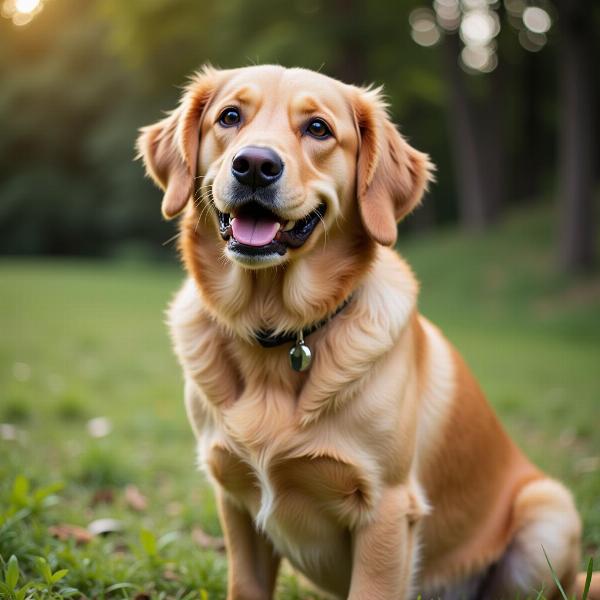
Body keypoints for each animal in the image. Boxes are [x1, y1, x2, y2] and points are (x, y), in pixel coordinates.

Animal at [137, 63, 600, 596]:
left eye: (318, 128)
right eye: (230, 117)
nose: (254, 164)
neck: (279, 330)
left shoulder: (387, 509)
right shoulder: (233, 498)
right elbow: (245, 584)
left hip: (548, 511)